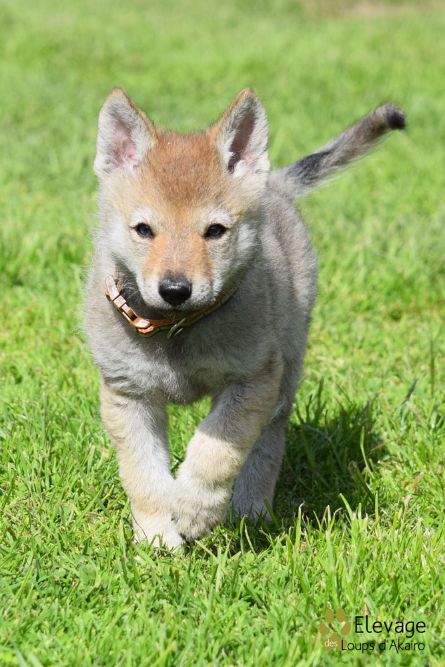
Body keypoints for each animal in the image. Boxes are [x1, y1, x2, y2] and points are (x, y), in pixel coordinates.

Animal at [86, 88, 405, 548]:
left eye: (215, 231)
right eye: (144, 229)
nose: (175, 290)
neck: (177, 332)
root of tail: (274, 184)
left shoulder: (253, 380)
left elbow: (215, 449)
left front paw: (194, 510)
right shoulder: (128, 394)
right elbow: (142, 472)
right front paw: (157, 534)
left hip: (286, 370)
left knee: (268, 441)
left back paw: (251, 507)